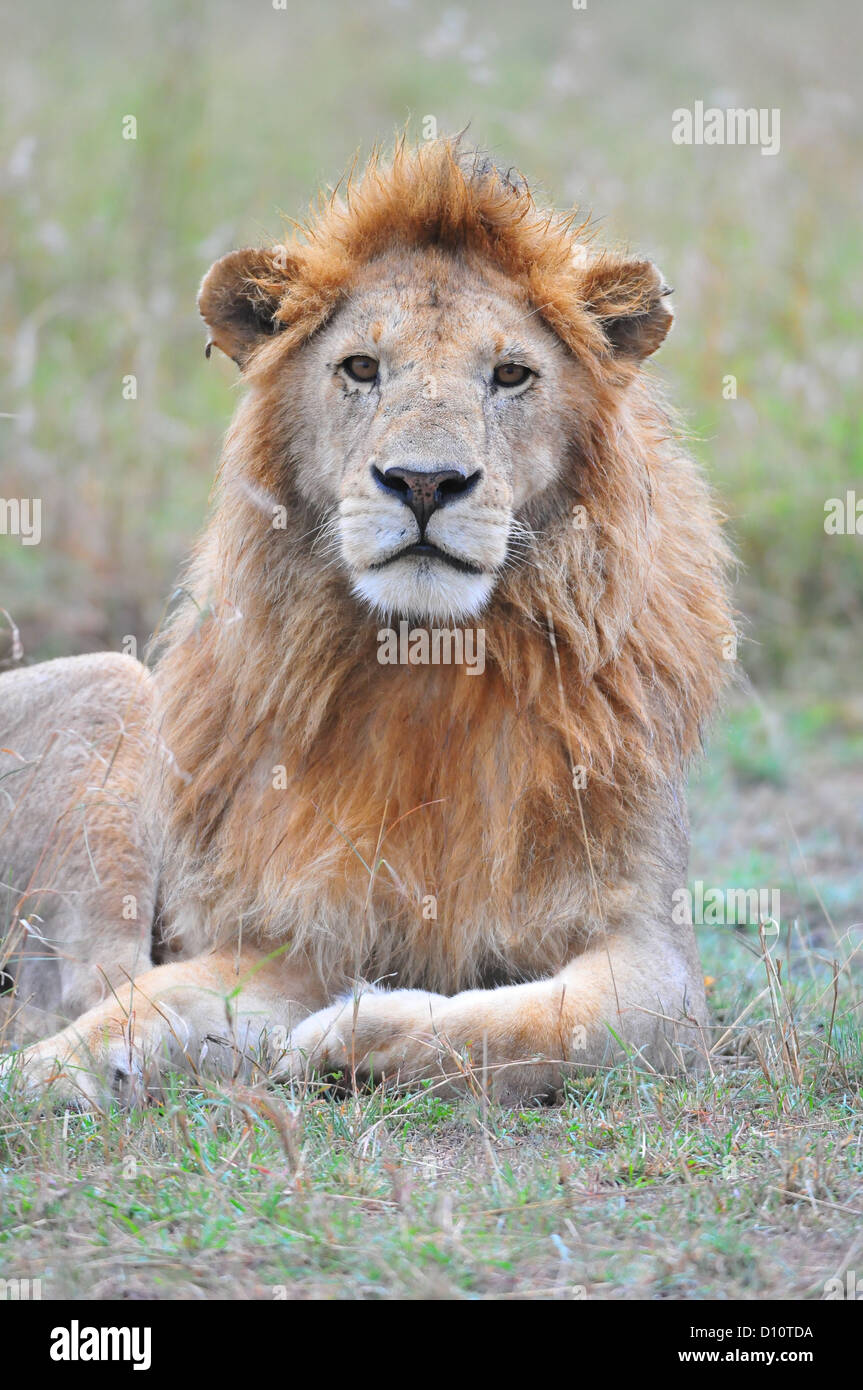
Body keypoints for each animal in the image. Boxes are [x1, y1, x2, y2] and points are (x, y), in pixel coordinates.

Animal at [0, 139, 733, 1106]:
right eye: (359, 369)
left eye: (509, 375)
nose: (423, 482)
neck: (427, 658)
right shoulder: (303, 932)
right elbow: (154, 996)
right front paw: (53, 1071)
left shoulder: (660, 958)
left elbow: (553, 1021)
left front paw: (350, 1036)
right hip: (115, 687)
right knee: (89, 980)